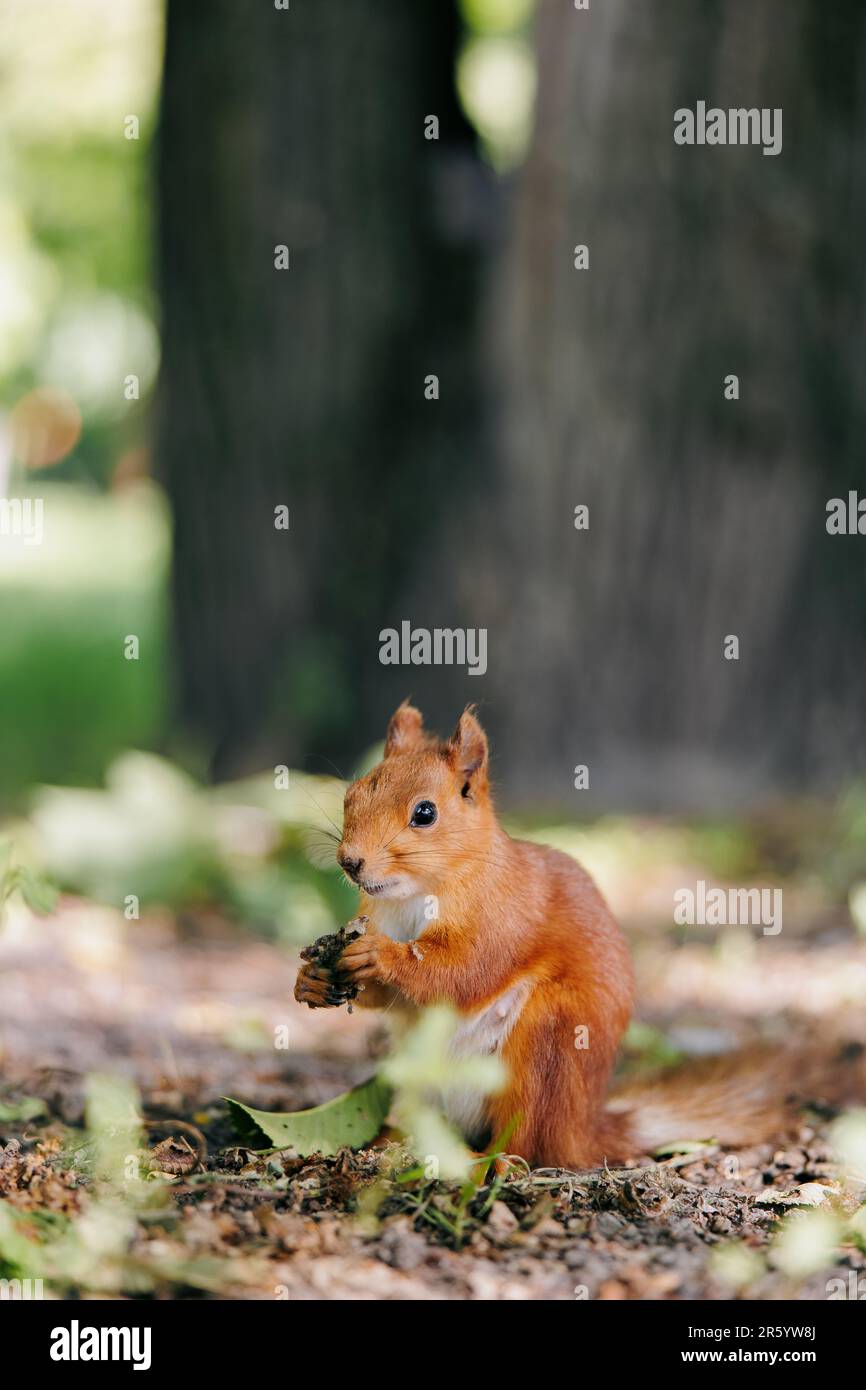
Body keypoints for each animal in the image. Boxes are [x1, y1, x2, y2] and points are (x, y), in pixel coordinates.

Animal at [296, 700, 861, 1167]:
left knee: (529, 1146)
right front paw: (312, 980)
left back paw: (487, 1162)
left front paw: (381, 955)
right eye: (351, 794)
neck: (412, 897)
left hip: (547, 1045)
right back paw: (390, 1140)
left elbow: (462, 971)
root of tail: (582, 1129)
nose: (350, 862)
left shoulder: (504, 916)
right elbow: (394, 999)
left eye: (425, 813)